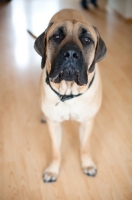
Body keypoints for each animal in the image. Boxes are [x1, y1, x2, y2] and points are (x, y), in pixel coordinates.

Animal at [32, 8, 106, 182]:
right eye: (57, 37)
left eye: (87, 39)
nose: (71, 53)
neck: (69, 91)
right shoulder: (54, 125)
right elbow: (55, 151)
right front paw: (53, 170)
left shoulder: (87, 122)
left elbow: (84, 147)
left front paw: (87, 165)